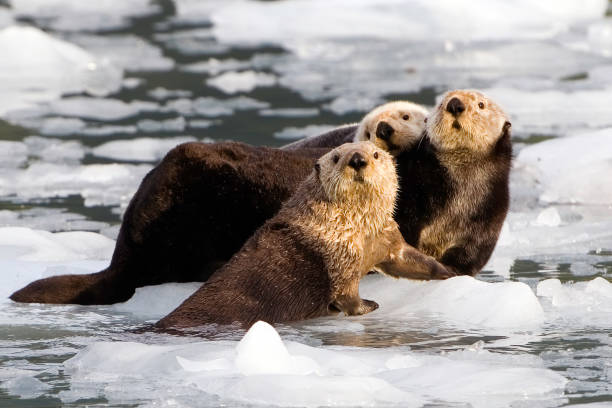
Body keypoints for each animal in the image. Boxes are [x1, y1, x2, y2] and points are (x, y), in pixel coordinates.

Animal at [155, 142, 448, 330]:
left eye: (375, 154)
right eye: (336, 157)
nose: (357, 159)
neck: (356, 229)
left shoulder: (385, 236)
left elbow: (407, 259)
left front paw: (448, 273)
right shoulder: (339, 256)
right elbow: (346, 294)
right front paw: (369, 305)